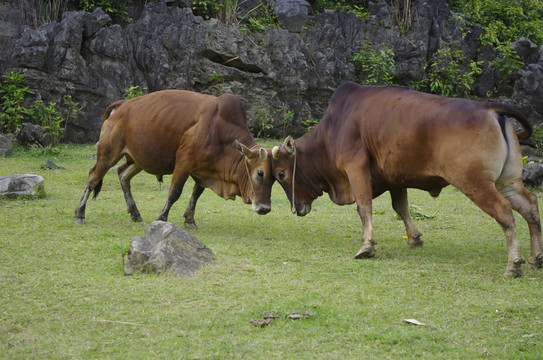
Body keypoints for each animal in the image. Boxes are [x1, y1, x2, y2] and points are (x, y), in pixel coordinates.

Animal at [74, 89, 274, 226]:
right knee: (93, 177)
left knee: (123, 175)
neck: (221, 129)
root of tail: (122, 105)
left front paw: (190, 220)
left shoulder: (203, 170)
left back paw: (135, 213)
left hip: (138, 159)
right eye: (260, 173)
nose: (265, 209)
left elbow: (196, 194)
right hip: (108, 154)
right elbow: (174, 192)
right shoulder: (184, 163)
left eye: (275, 178)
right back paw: (79, 213)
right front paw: (162, 218)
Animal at [272, 81, 543, 278]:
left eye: (281, 174)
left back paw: (514, 264)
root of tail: (489, 108)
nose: (296, 208)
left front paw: (367, 246)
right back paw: (535, 258)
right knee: (530, 205)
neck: (332, 129)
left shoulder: (355, 167)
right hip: (508, 182)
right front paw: (414, 238)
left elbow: (364, 206)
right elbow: (400, 207)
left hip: (475, 183)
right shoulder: (396, 179)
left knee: (504, 210)